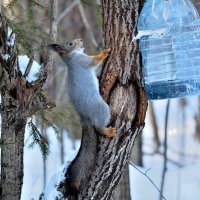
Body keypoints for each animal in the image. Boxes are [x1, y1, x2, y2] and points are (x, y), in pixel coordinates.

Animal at [48, 39, 115, 195]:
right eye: (70, 44)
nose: (80, 40)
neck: (71, 58)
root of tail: (84, 119)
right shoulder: (83, 61)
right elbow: (95, 61)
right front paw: (105, 51)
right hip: (101, 109)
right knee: (99, 127)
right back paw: (109, 131)